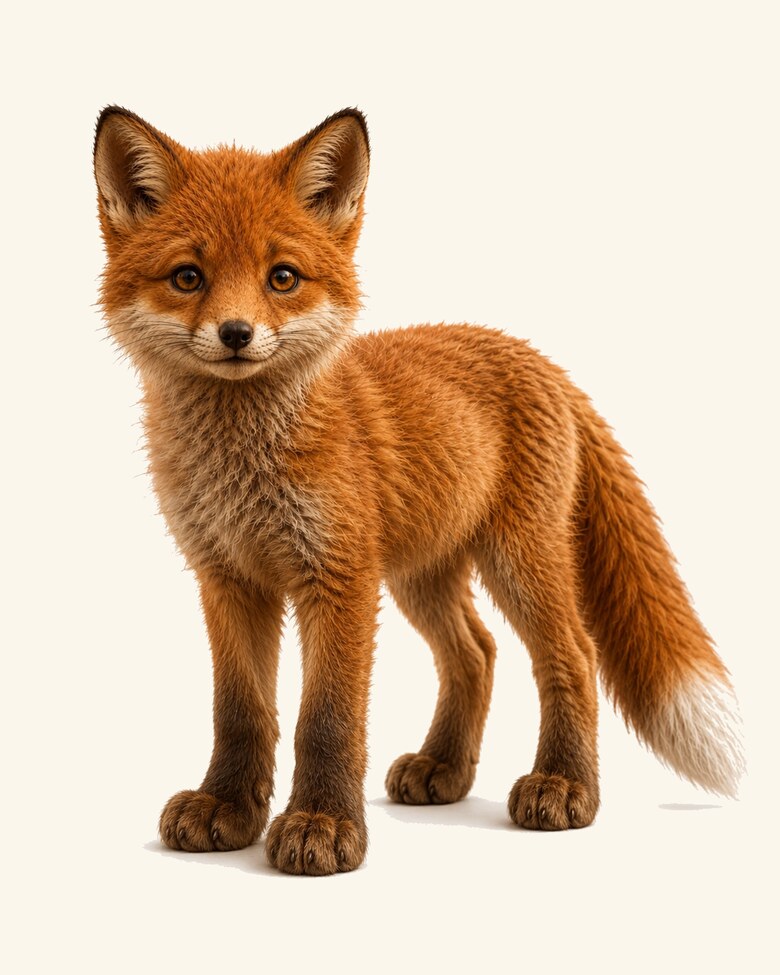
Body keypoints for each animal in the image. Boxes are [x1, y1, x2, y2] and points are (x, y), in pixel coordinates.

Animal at [94, 106, 744, 876]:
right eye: (188, 277)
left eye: (282, 277)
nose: (235, 333)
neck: (242, 468)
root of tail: (536, 356)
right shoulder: (226, 577)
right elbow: (241, 712)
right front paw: (227, 806)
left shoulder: (339, 576)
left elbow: (327, 718)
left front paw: (322, 824)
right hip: (422, 575)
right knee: (476, 652)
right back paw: (445, 768)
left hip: (518, 561)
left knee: (573, 654)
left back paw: (564, 784)